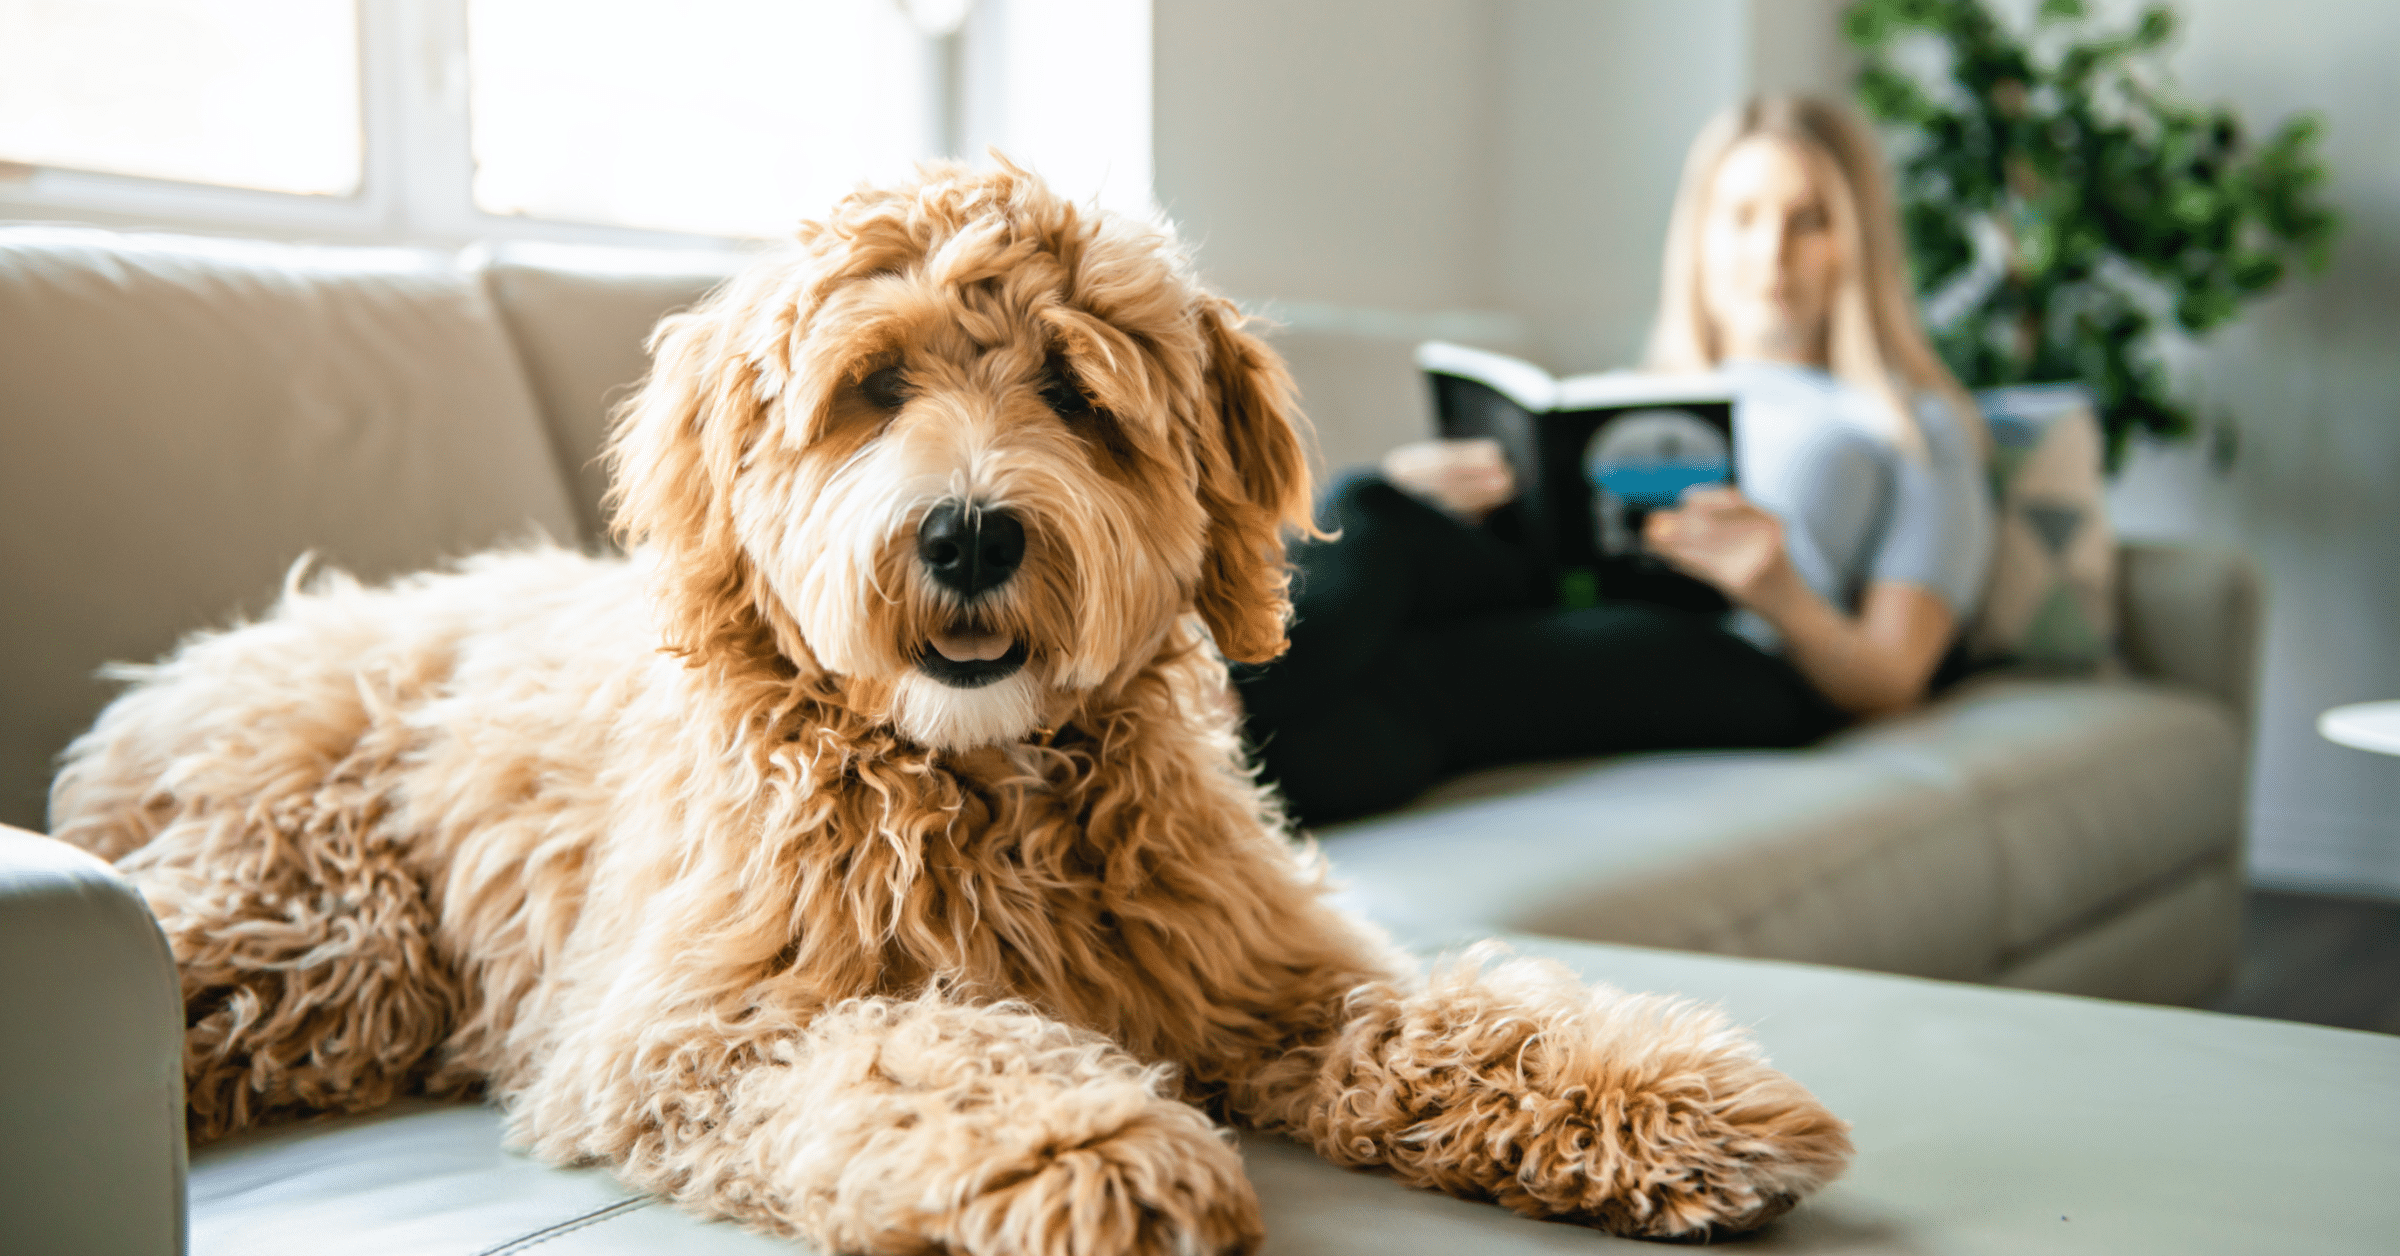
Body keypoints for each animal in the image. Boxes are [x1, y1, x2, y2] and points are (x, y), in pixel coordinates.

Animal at [51, 162, 1852, 1248]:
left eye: (1075, 391)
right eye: (871, 389)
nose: (972, 531)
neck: (982, 787)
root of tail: (197, 663)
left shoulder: (1267, 975)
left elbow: (1443, 1014)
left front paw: (1664, 1096)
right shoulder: (692, 1029)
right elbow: (921, 1048)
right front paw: (1090, 1154)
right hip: (321, 936)